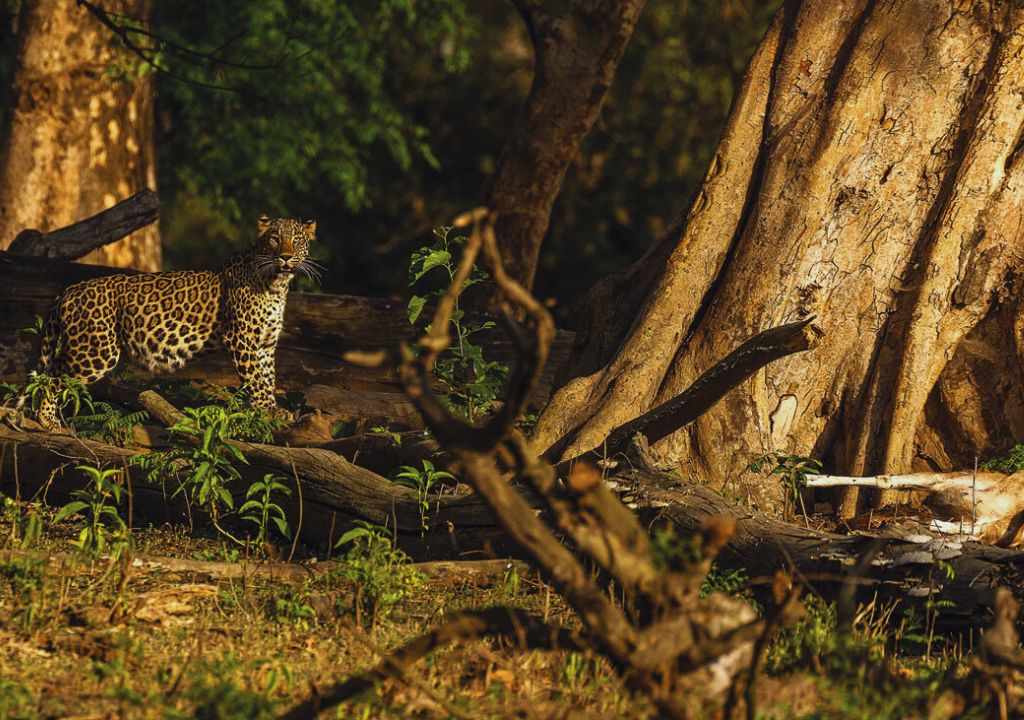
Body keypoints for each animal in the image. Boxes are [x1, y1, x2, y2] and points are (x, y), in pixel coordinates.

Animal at [32, 215, 320, 429]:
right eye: (274, 239)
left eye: (296, 240)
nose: (285, 257)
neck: (277, 284)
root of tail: (69, 289)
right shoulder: (242, 338)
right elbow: (257, 379)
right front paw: (265, 411)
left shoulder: (265, 344)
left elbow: (268, 378)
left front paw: (273, 409)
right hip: (96, 351)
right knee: (52, 375)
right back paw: (47, 420)